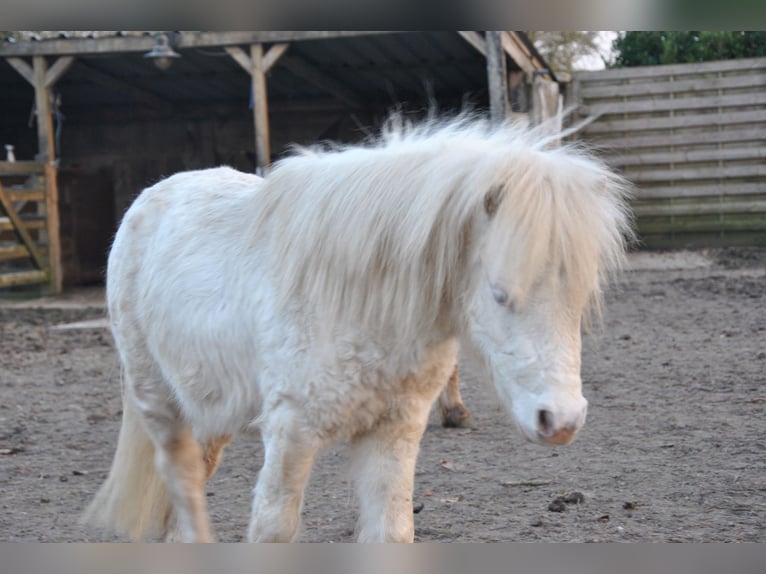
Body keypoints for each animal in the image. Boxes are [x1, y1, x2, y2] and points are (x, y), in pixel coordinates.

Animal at [83, 115, 632, 543]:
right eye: (499, 292)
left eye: (580, 296)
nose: (561, 420)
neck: (361, 300)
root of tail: (150, 197)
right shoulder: (291, 432)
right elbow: (272, 528)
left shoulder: (394, 431)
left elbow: (392, 531)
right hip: (159, 402)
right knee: (180, 479)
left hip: (210, 406)